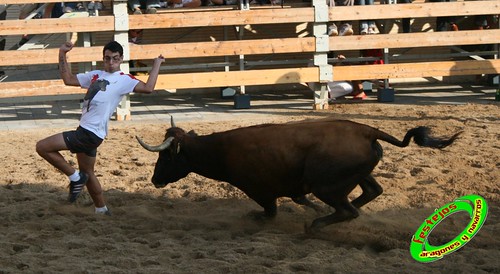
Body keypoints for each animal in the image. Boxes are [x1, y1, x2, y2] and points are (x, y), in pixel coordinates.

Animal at [138, 117, 460, 231]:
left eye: (165, 155)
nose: (155, 179)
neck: (220, 149)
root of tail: (367, 131)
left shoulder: (260, 191)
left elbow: (269, 211)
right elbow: (296, 199)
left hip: (327, 186)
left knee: (347, 209)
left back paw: (316, 224)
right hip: (354, 177)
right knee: (370, 192)